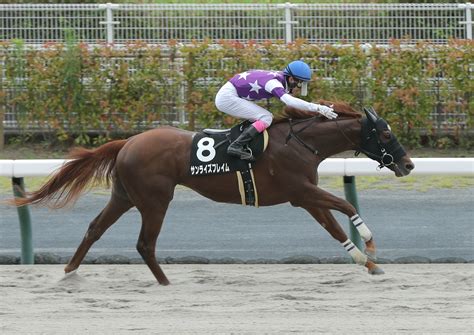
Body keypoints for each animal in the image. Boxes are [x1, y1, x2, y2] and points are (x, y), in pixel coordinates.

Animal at [12, 103, 412, 286]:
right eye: (386, 134)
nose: (408, 165)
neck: (301, 143)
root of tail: (127, 142)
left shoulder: (305, 196)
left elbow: (334, 227)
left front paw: (367, 262)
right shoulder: (301, 190)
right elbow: (344, 205)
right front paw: (372, 247)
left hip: (124, 196)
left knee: (95, 228)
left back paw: (69, 272)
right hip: (155, 199)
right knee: (144, 243)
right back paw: (165, 282)